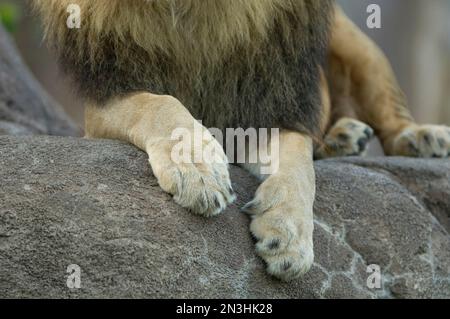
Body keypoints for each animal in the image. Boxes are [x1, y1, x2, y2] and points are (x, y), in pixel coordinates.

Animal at [32, 0, 450, 282]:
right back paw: (343, 138)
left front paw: (289, 233)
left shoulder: (264, 102)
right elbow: (159, 104)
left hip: (355, 43)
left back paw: (420, 138)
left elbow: (299, 166)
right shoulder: (105, 95)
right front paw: (198, 170)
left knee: (386, 114)